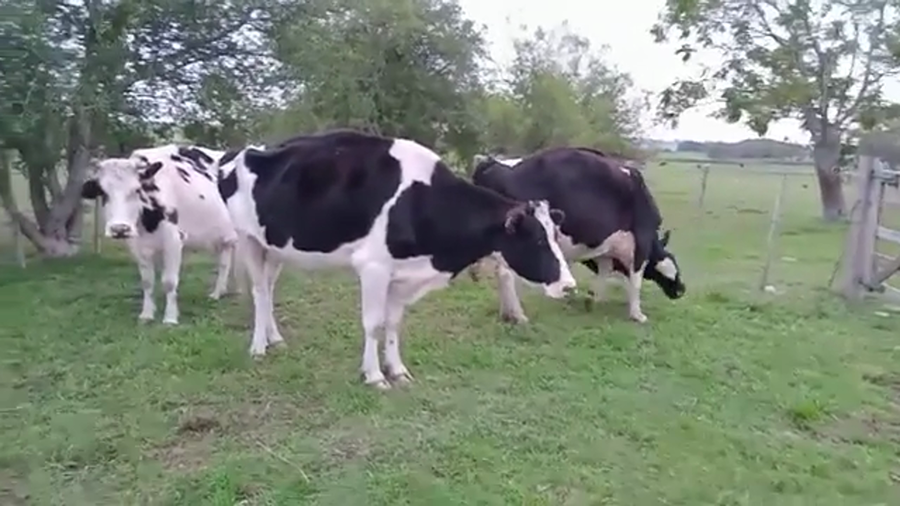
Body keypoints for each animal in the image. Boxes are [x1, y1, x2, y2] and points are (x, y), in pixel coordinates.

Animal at [80, 144, 244, 324]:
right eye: (103, 192)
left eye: (137, 190)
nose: (120, 228)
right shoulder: (136, 245)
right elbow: (147, 281)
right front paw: (146, 314)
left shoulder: (174, 241)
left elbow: (169, 281)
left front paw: (170, 318)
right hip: (224, 238)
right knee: (225, 262)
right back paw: (219, 293)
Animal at [215, 129, 576, 390]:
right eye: (537, 239)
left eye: (555, 235)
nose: (570, 286)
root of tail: (241, 151)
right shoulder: (373, 267)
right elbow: (373, 323)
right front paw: (375, 376)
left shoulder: (403, 276)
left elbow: (393, 323)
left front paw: (397, 371)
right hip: (248, 239)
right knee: (259, 291)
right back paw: (258, 347)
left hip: (274, 247)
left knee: (269, 289)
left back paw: (275, 339)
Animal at [469, 147, 685, 324]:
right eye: (674, 266)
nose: (681, 290)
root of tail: (491, 163)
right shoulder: (641, 242)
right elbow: (636, 281)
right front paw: (637, 314)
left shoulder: (606, 249)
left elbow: (604, 271)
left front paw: (594, 298)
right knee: (505, 274)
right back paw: (517, 314)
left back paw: (506, 312)